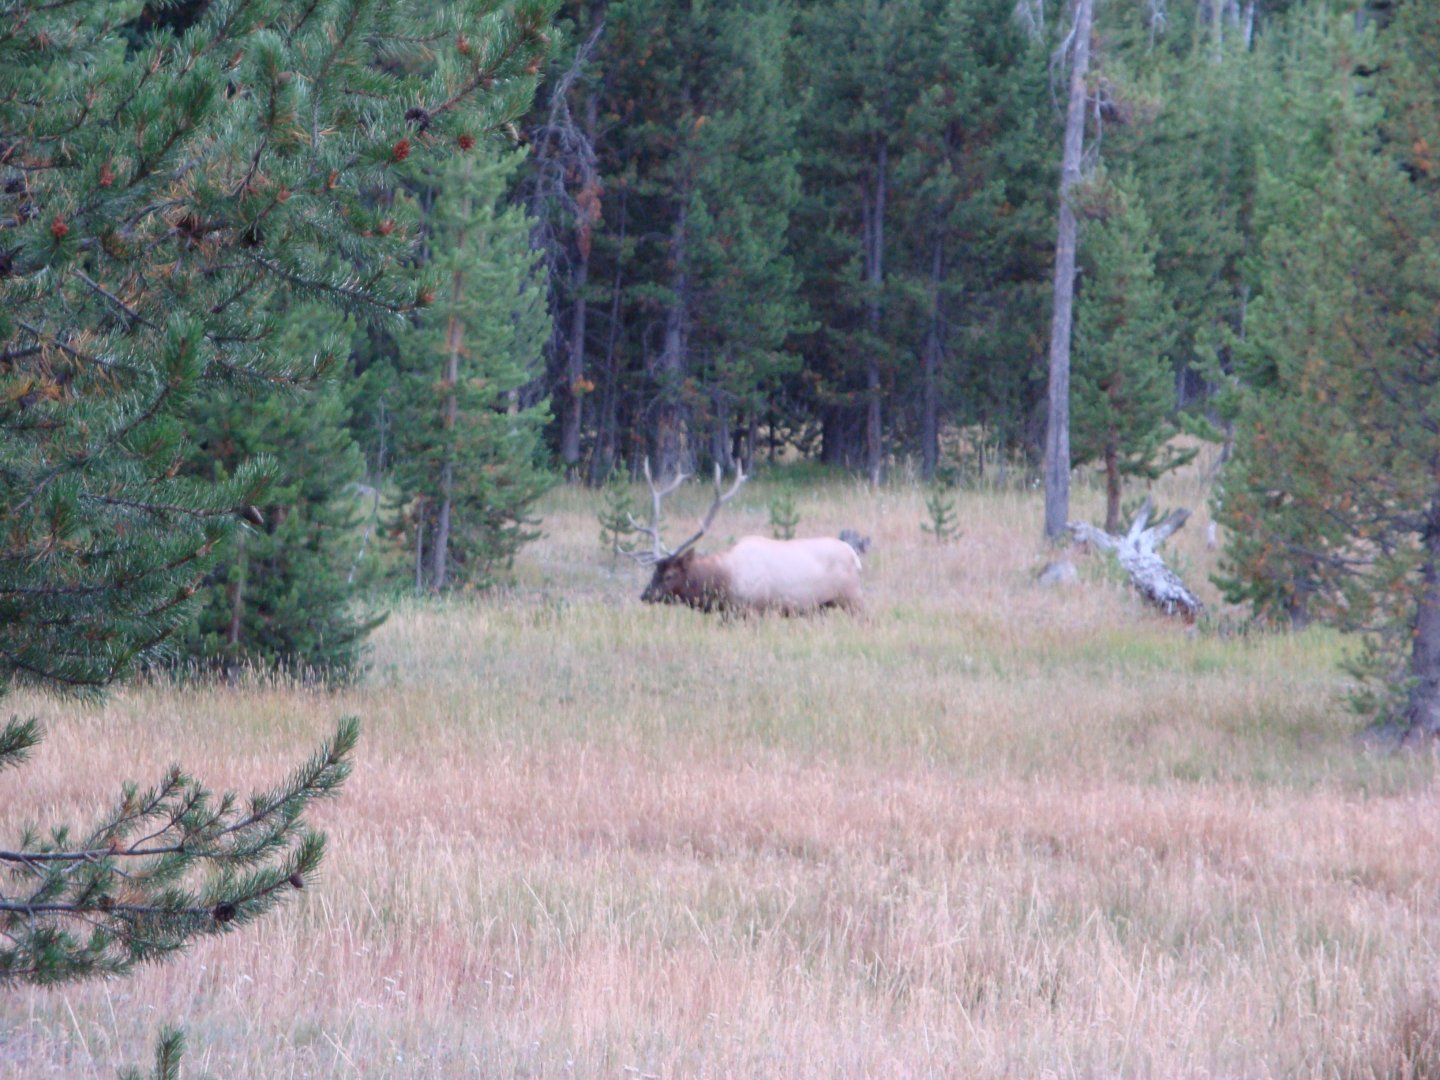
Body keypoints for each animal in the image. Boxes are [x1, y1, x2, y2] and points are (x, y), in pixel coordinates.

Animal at [622, 460, 863, 615]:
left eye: (670, 575)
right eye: (654, 571)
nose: (645, 595)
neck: (721, 581)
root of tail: (855, 556)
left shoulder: (751, 609)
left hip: (851, 598)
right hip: (823, 606)